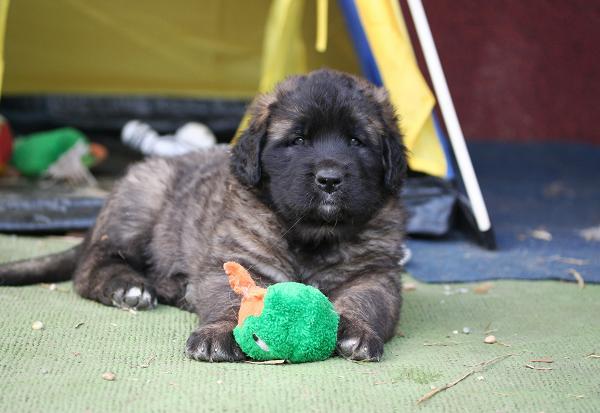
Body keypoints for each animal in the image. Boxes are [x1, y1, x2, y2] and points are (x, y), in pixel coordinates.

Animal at [0, 69, 407, 362]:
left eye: (356, 141)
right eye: (298, 140)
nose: (330, 179)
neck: (312, 234)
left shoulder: (373, 274)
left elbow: (365, 302)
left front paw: (357, 331)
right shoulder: (235, 261)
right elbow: (235, 301)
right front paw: (219, 334)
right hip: (143, 195)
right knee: (91, 264)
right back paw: (128, 287)